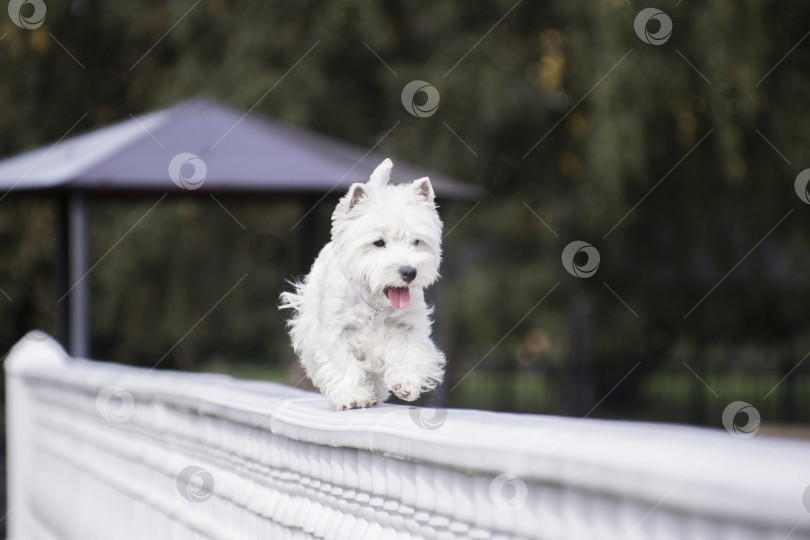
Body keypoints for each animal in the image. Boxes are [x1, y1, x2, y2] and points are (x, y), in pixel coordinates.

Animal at [280, 159, 446, 410]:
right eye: (378, 242)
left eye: (417, 241)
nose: (409, 272)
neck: (374, 301)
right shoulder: (334, 332)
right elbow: (342, 363)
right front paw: (353, 397)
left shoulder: (407, 327)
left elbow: (409, 352)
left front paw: (405, 383)